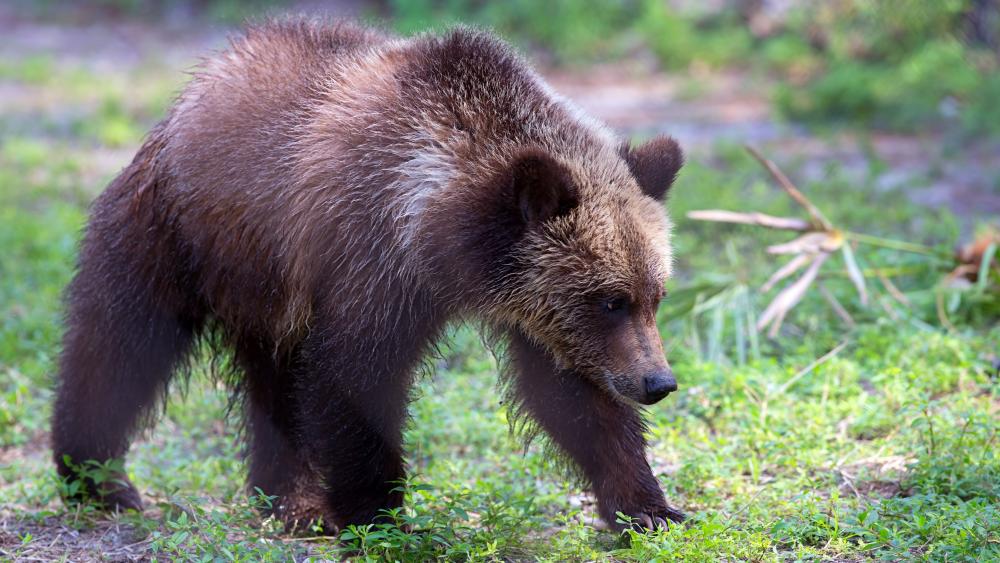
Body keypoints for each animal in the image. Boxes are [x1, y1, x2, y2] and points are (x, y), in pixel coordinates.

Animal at [52, 18, 688, 532]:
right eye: (610, 299)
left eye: (654, 295)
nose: (658, 382)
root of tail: (193, 89)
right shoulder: (372, 258)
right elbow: (353, 374)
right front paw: (377, 513)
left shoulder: (530, 307)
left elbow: (571, 395)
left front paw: (649, 507)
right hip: (179, 232)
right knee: (118, 346)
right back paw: (98, 479)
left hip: (263, 287)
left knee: (273, 382)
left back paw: (290, 498)